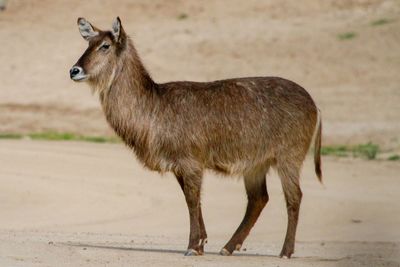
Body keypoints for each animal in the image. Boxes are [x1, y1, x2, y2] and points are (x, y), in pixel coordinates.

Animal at [70, 17, 324, 260]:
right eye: (88, 43)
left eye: (105, 45)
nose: (74, 70)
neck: (153, 109)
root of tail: (315, 105)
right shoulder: (180, 165)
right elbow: (192, 199)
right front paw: (201, 244)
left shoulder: (190, 161)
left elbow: (192, 200)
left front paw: (192, 247)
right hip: (256, 164)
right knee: (258, 199)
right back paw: (228, 248)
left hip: (289, 157)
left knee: (294, 197)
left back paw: (285, 252)